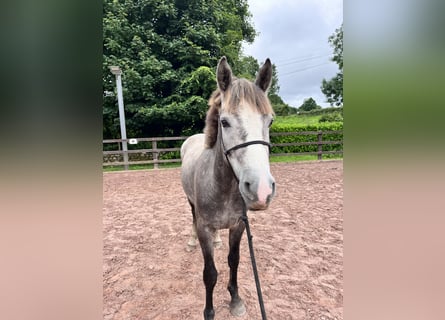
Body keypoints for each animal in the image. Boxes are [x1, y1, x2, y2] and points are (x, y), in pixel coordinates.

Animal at [180, 56, 276, 318]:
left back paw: (217, 241)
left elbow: (234, 260)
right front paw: (209, 311)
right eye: (224, 122)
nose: (261, 190)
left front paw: (235, 300)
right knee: (192, 218)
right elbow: (210, 273)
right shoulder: (204, 228)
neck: (222, 188)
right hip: (191, 204)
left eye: (270, 121)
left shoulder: (238, 226)